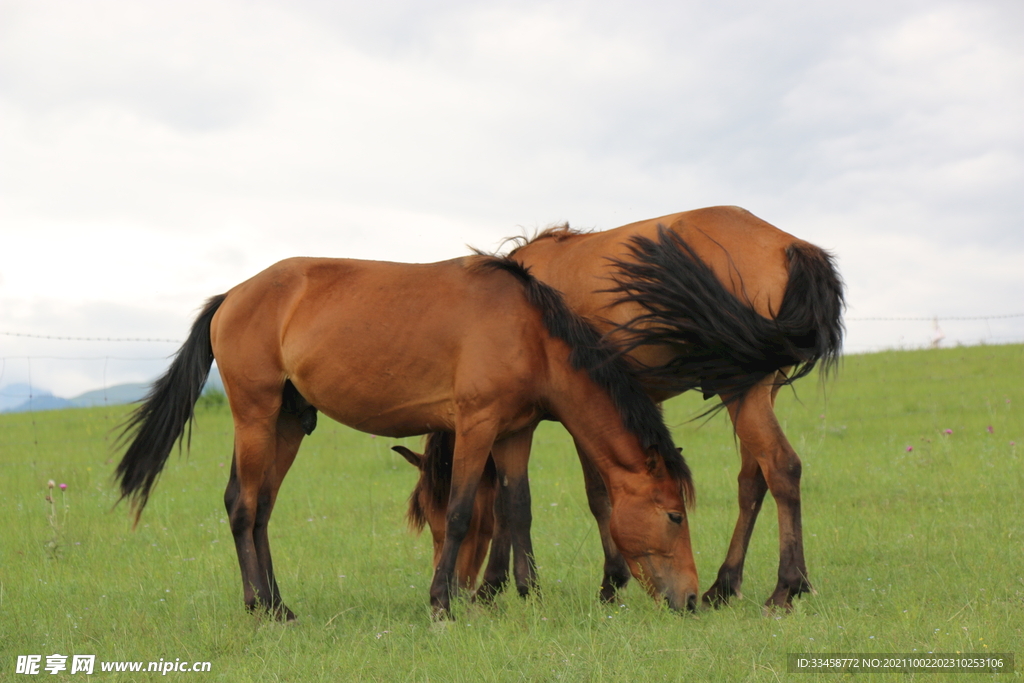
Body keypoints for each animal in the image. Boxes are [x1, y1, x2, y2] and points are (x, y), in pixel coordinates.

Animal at [116, 253, 700, 618]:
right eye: (675, 516)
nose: (694, 600)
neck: (528, 330)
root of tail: (232, 294)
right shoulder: (476, 425)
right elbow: (463, 513)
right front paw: (443, 603)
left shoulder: (514, 434)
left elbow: (517, 510)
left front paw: (529, 595)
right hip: (255, 417)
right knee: (242, 505)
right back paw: (261, 609)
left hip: (288, 423)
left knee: (261, 510)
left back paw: (280, 604)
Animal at [415, 206, 839, 610]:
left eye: (438, 523)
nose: (456, 583)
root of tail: (789, 246)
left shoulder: (553, 419)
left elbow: (580, 497)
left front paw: (603, 583)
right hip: (760, 391)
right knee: (753, 481)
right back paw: (723, 586)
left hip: (741, 392)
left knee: (781, 467)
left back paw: (785, 587)